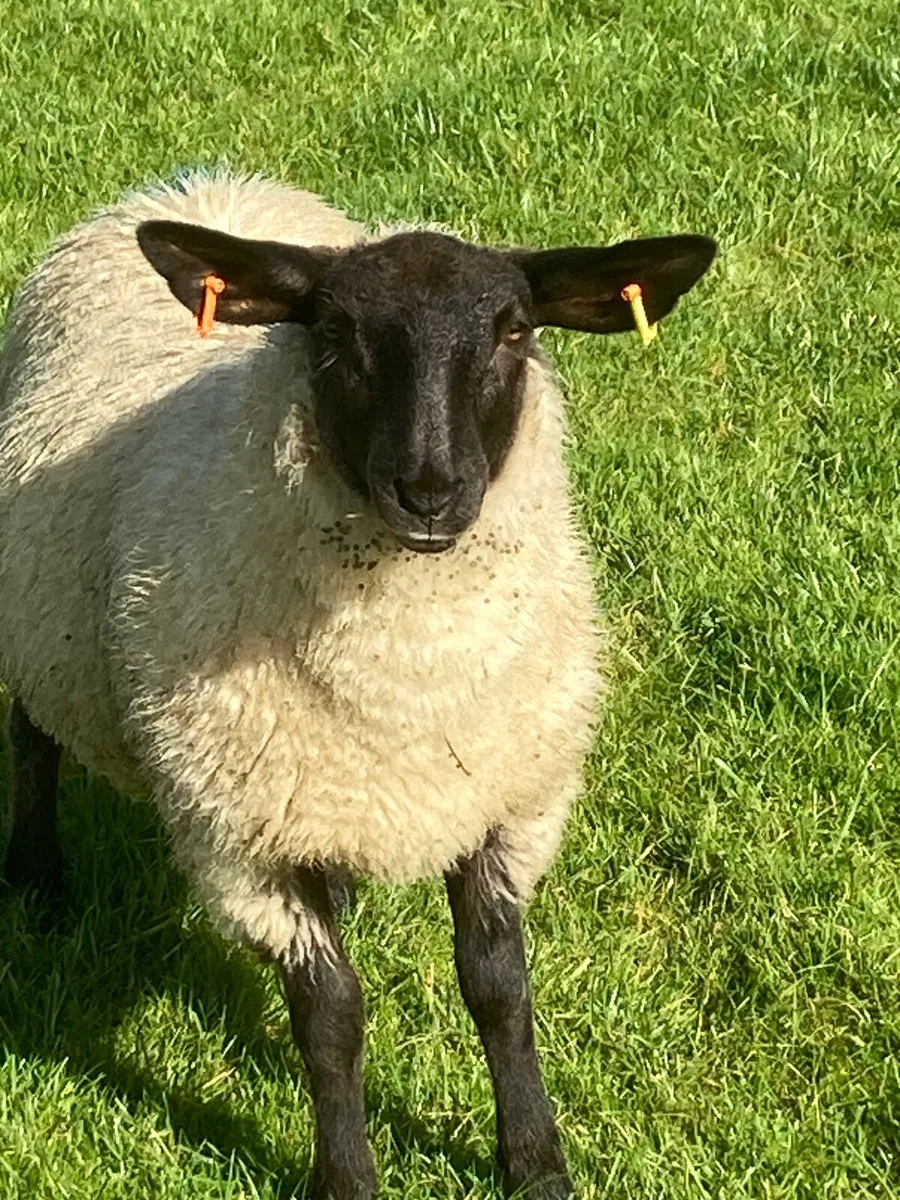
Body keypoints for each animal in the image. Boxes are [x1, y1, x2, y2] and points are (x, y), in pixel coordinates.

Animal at [0, 171, 715, 1199]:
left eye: (514, 330)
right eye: (334, 335)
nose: (429, 490)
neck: (410, 683)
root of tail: (204, 181)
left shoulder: (504, 802)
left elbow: (500, 987)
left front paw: (535, 1162)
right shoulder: (244, 842)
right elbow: (331, 1019)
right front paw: (347, 1175)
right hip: (39, 609)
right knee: (31, 731)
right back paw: (37, 874)